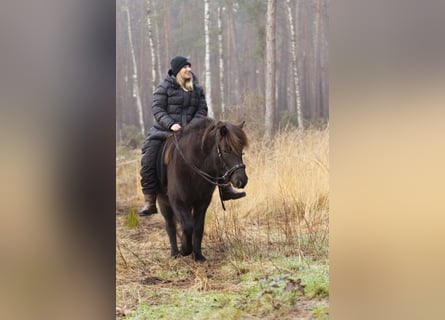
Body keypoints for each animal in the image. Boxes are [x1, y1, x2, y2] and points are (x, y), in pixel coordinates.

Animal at [158, 117, 248, 262]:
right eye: (226, 150)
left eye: (241, 150)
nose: (242, 180)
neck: (192, 167)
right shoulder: (177, 202)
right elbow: (187, 226)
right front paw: (184, 249)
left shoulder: (202, 203)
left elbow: (198, 227)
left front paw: (198, 256)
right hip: (163, 202)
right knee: (170, 225)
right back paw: (175, 253)